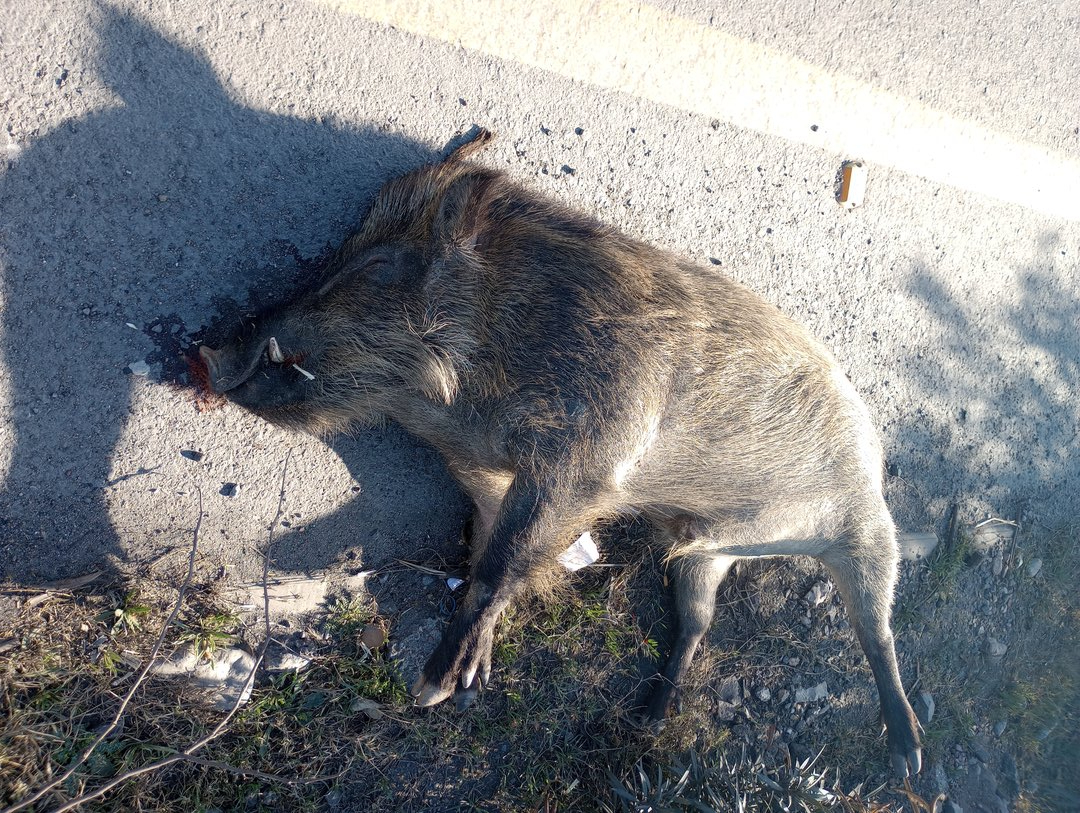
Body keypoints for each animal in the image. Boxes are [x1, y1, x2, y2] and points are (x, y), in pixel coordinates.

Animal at [198, 129, 921, 777]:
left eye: (375, 266)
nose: (206, 350)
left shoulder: (588, 459)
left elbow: (504, 560)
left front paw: (433, 689)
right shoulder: (484, 467)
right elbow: (486, 546)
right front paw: (473, 678)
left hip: (867, 537)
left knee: (879, 634)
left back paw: (910, 758)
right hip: (709, 558)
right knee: (697, 620)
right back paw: (650, 715)